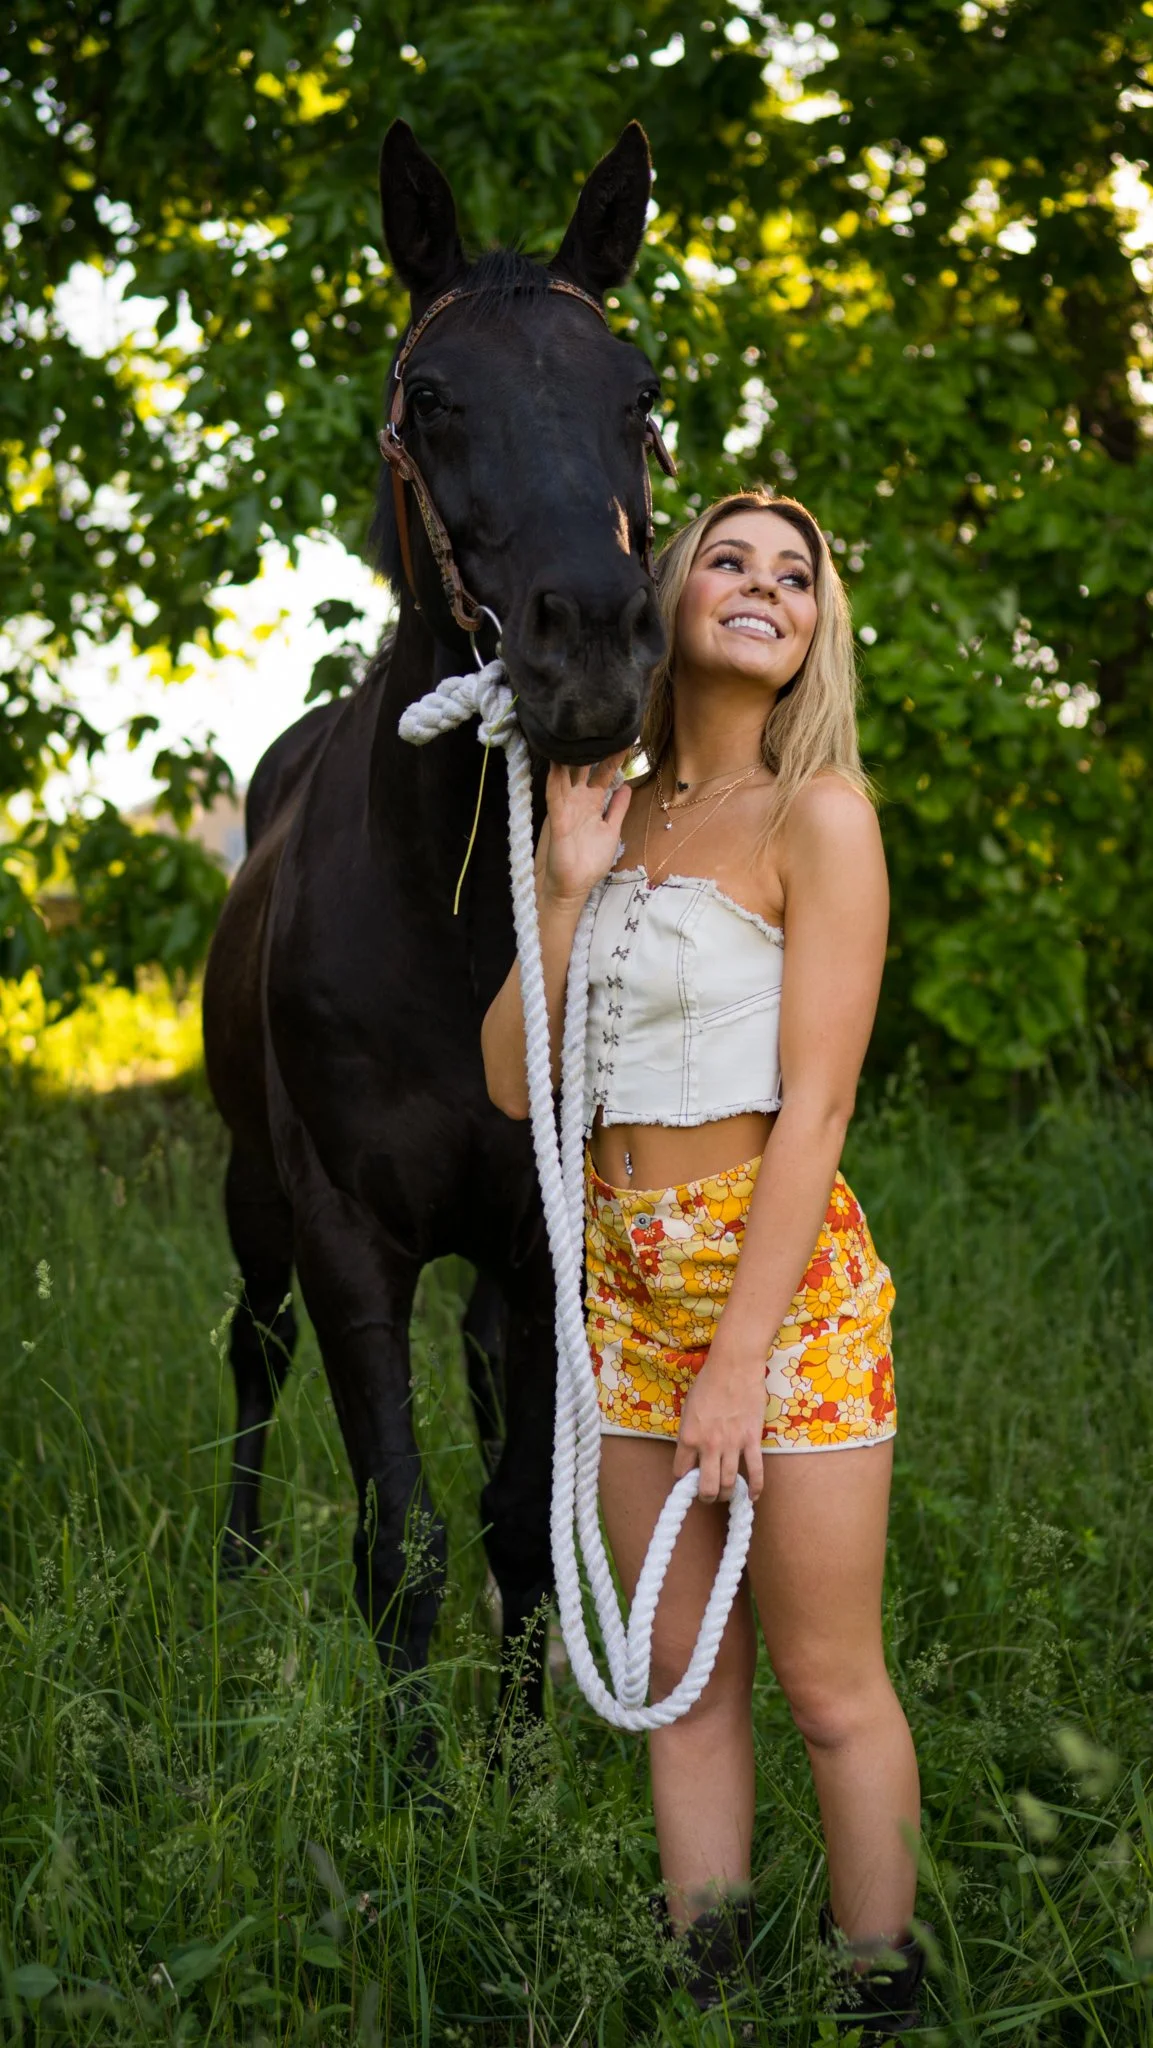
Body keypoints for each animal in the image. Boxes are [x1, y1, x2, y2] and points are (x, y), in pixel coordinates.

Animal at [201, 118, 669, 1721]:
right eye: (431, 395)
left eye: (640, 396)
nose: (591, 645)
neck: (457, 927)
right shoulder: (346, 1235)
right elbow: (395, 1541)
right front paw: (408, 1774)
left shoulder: (538, 1235)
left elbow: (520, 1521)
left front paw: (516, 1764)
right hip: (252, 1196)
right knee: (252, 1351)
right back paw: (236, 1568)